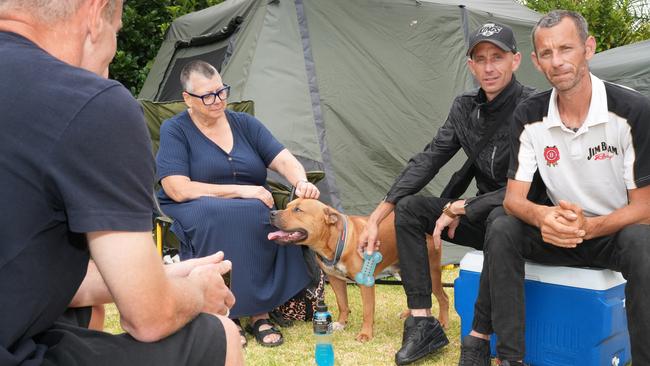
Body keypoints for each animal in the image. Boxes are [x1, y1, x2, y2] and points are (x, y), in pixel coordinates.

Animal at [268, 199, 446, 342]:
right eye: (287, 206)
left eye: (298, 210)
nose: (271, 213)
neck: (335, 241)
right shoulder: (336, 280)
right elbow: (342, 304)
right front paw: (341, 324)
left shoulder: (366, 284)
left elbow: (367, 311)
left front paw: (365, 334)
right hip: (406, 271)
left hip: (432, 272)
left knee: (443, 298)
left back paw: (442, 322)